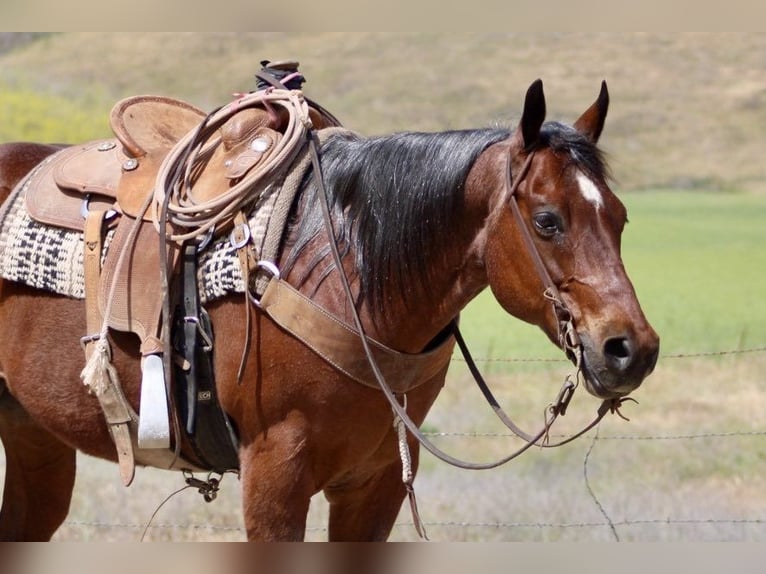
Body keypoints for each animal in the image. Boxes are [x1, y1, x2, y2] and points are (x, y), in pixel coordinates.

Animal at [0, 78, 659, 541]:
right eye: (547, 221)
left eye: (621, 217)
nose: (631, 349)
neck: (351, 276)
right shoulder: (274, 477)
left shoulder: (375, 487)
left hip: (33, 436)